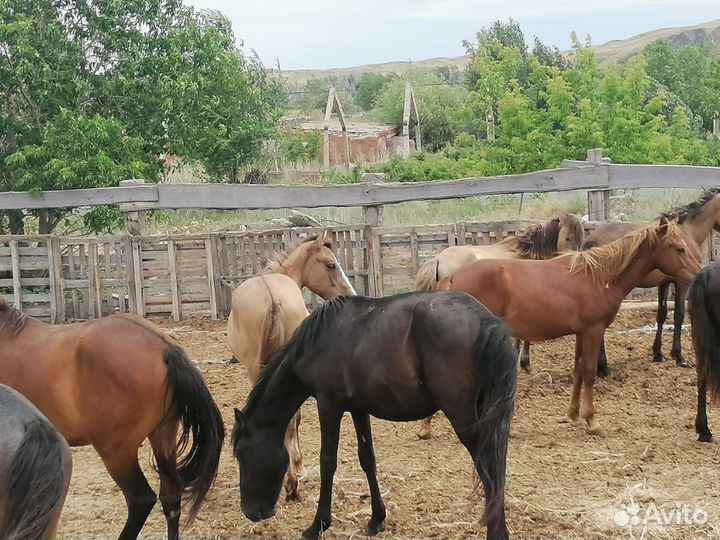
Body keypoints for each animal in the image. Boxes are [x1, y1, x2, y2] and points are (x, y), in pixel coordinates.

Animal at [231, 291, 517, 540]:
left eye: (242, 455)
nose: (250, 511)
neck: (319, 339)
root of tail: (486, 321)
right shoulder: (359, 408)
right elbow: (367, 459)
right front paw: (377, 519)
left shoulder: (329, 405)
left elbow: (327, 463)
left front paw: (318, 524)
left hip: (463, 417)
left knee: (488, 466)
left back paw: (496, 532)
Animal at [438, 217, 700, 436]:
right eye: (679, 248)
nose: (698, 274)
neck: (598, 276)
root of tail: (451, 278)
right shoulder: (594, 331)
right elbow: (590, 373)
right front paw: (592, 421)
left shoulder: (581, 333)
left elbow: (578, 371)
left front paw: (573, 414)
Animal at [582, 188, 720, 376]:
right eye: (680, 249)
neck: (687, 233)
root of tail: (593, 239)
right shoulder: (681, 282)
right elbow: (679, 314)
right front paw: (679, 356)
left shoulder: (664, 282)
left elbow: (661, 314)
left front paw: (658, 353)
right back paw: (603, 367)